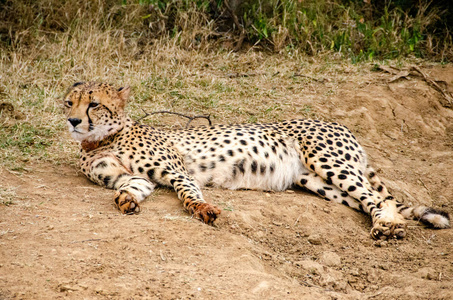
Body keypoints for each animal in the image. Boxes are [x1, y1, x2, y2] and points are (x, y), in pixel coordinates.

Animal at [63, 81, 448, 239]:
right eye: (69, 102)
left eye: (94, 103)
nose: (73, 121)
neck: (101, 140)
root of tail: (335, 122)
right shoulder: (134, 177)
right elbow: (130, 188)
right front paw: (126, 201)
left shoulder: (177, 171)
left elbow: (189, 193)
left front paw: (204, 210)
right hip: (316, 181)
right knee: (368, 201)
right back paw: (385, 223)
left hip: (330, 162)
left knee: (380, 198)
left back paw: (389, 226)